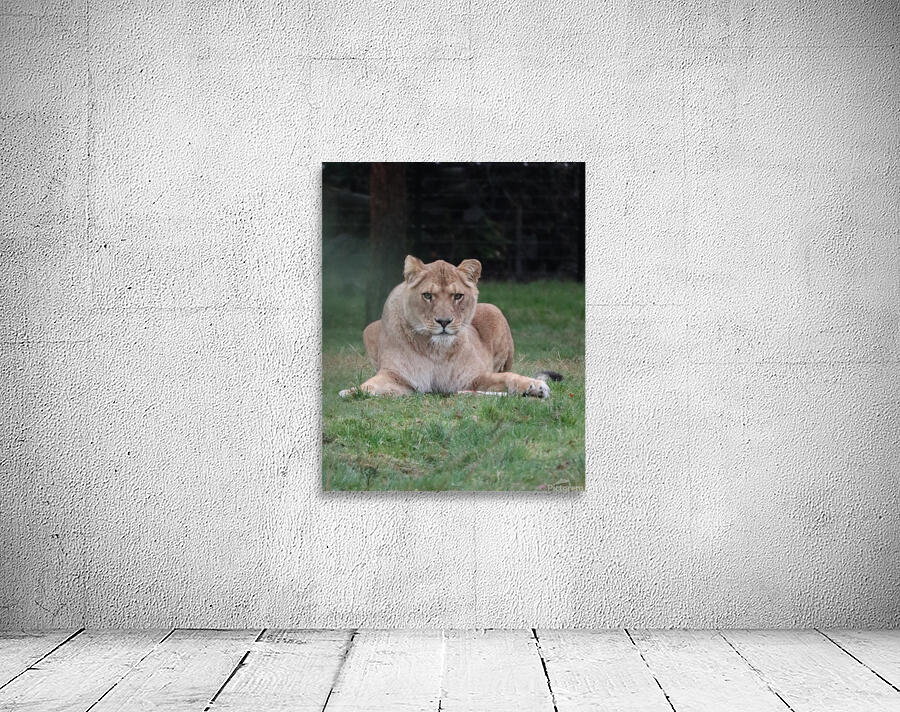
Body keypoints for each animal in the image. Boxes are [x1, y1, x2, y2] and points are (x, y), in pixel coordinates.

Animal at [339, 255, 560, 398]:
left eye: (458, 296)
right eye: (427, 295)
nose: (444, 322)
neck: (436, 350)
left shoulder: (472, 378)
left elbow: (507, 376)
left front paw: (535, 386)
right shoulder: (397, 377)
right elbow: (370, 385)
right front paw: (351, 391)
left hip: (494, 310)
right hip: (370, 328)